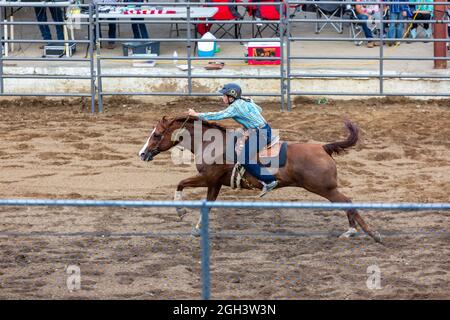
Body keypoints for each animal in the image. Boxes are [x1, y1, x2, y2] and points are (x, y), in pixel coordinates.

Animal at [139, 115, 382, 242]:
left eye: (157, 135)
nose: (142, 154)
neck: (211, 143)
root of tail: (323, 147)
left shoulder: (207, 177)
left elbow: (180, 184)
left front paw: (180, 211)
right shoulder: (214, 183)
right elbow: (206, 204)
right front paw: (197, 228)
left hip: (324, 188)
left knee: (347, 202)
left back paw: (369, 233)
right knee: (347, 203)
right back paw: (354, 231)